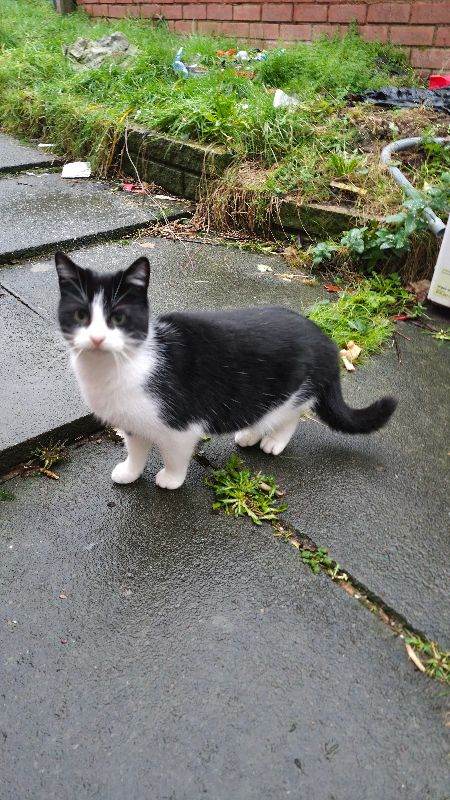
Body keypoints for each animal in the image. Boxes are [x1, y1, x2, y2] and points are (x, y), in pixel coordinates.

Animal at [55, 250, 397, 489]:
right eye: (81, 315)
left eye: (118, 318)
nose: (97, 338)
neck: (113, 368)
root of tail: (325, 339)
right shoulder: (132, 422)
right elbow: (136, 448)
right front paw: (129, 472)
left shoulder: (180, 426)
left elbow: (175, 454)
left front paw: (171, 478)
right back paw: (250, 434)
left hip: (292, 389)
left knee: (291, 415)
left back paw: (274, 441)